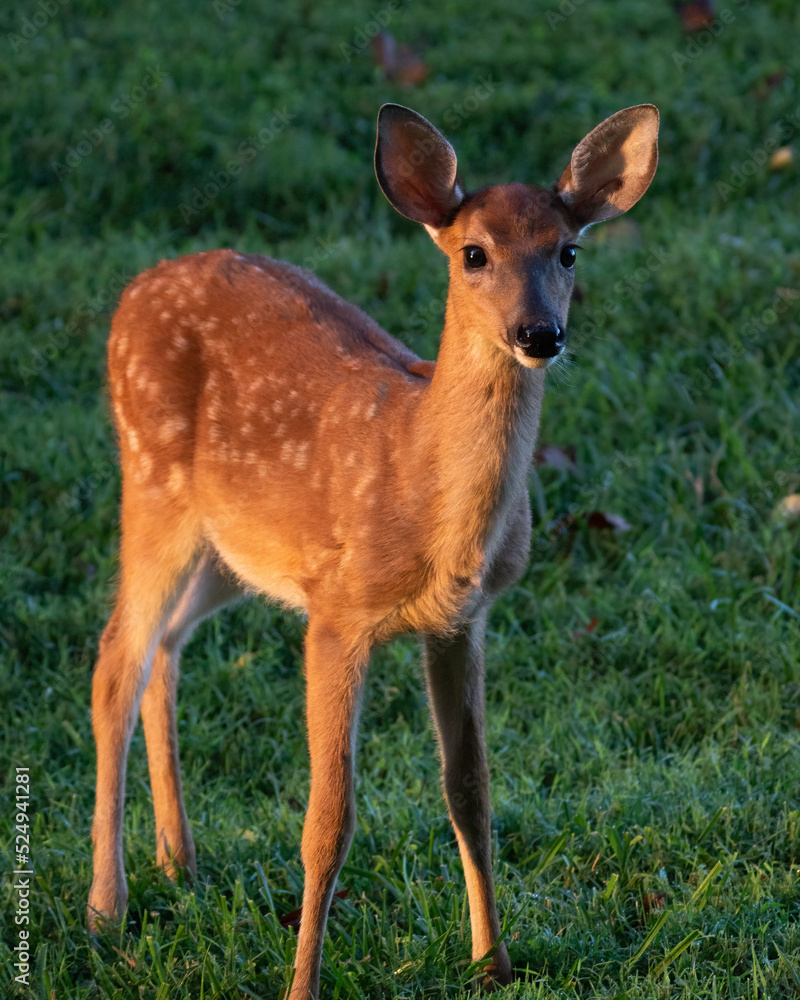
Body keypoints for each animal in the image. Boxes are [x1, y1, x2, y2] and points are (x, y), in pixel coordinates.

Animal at [87, 102, 659, 996]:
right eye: (473, 254)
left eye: (568, 250)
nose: (540, 332)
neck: (425, 491)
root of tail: (135, 289)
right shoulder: (335, 613)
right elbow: (328, 821)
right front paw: (302, 984)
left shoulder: (462, 620)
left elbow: (471, 790)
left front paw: (492, 960)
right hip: (150, 487)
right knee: (116, 659)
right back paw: (106, 909)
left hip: (228, 552)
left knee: (165, 649)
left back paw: (179, 861)